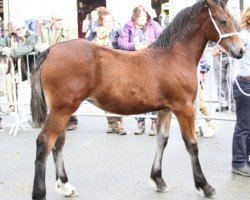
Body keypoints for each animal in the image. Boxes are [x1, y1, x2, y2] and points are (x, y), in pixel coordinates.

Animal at [30, 0, 244, 199]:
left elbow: (162, 140)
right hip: (62, 110)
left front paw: (158, 180)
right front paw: (205, 186)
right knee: (44, 143)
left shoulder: (165, 109)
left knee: (58, 144)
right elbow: (191, 144)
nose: (241, 50)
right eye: (222, 21)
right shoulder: (183, 108)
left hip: (64, 111)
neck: (174, 56)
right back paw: (40, 193)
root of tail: (50, 51)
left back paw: (66, 186)